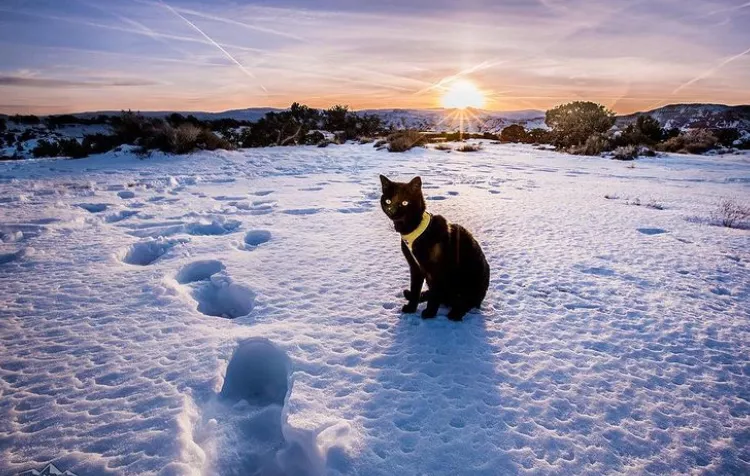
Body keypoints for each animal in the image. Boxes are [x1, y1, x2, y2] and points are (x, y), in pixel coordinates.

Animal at [382, 175, 494, 320]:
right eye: (388, 201)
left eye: (405, 202)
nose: (392, 210)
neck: (415, 230)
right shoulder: (415, 267)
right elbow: (415, 289)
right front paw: (412, 308)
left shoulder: (437, 270)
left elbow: (434, 295)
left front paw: (429, 314)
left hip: (472, 279)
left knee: (466, 302)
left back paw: (455, 313)